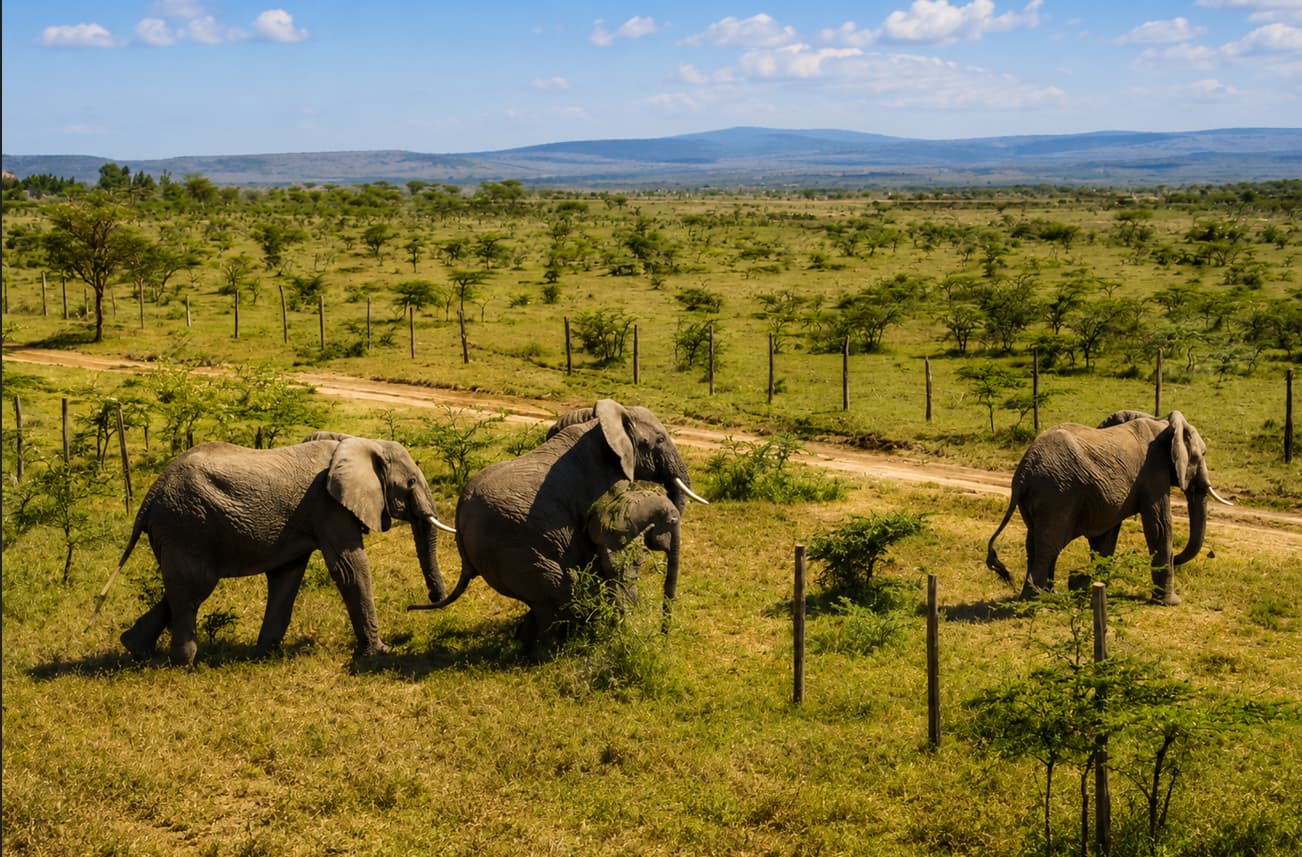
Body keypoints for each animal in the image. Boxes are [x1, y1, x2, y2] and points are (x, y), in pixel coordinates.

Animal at [106, 435, 455, 665]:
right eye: (411, 482)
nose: (429, 599)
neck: (357, 443)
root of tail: (150, 495)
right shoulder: (330, 507)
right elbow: (350, 568)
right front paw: (379, 653)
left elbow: (287, 576)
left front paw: (266, 654)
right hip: (187, 523)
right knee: (195, 587)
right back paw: (185, 662)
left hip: (179, 529)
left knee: (181, 587)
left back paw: (134, 648)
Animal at [422, 399, 707, 652]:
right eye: (660, 440)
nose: (663, 637)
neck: (600, 423)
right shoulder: (604, 481)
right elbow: (609, 537)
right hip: (516, 549)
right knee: (560, 591)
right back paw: (552, 651)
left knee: (543, 599)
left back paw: (527, 642)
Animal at [986, 410, 1232, 604]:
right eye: (1203, 454)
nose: (1177, 559)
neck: (1164, 424)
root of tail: (1022, 473)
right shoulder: (1154, 474)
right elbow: (1160, 526)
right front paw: (1171, 602)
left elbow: (1106, 535)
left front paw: (1098, 587)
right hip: (1055, 494)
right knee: (1049, 544)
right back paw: (1038, 600)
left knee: (1034, 543)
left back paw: (1048, 594)